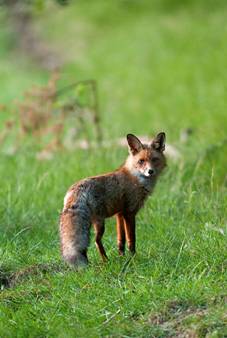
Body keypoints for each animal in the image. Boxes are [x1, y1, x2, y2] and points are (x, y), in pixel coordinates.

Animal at [60, 132, 167, 266]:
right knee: (96, 240)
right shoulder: (129, 213)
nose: (150, 171)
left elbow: (121, 239)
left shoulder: (119, 214)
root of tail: (74, 190)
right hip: (100, 222)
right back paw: (105, 261)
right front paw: (133, 258)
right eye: (141, 161)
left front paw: (122, 257)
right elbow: (131, 239)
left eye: (154, 159)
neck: (136, 178)